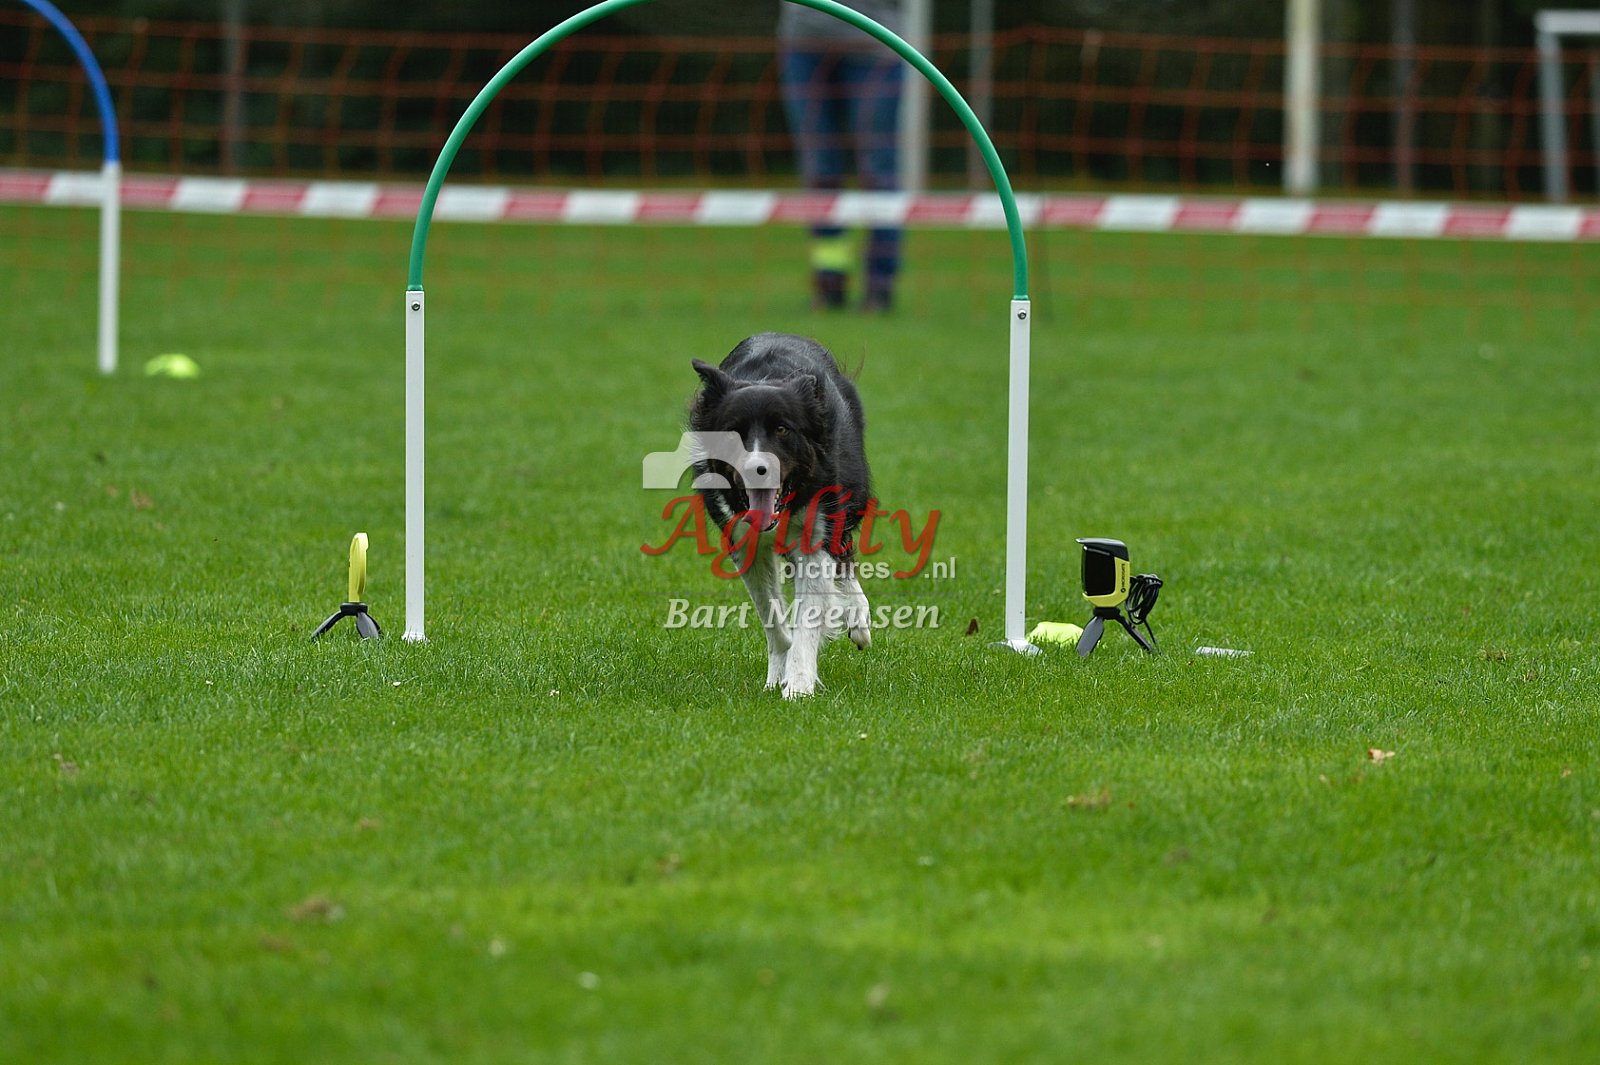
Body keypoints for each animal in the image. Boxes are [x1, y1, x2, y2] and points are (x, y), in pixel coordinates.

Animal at [688, 332, 872, 699]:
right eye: (733, 432)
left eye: (783, 430)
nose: (757, 469)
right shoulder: (744, 543)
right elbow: (773, 617)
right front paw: (778, 674)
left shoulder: (817, 533)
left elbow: (808, 618)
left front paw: (798, 686)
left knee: (844, 551)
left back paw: (859, 619)